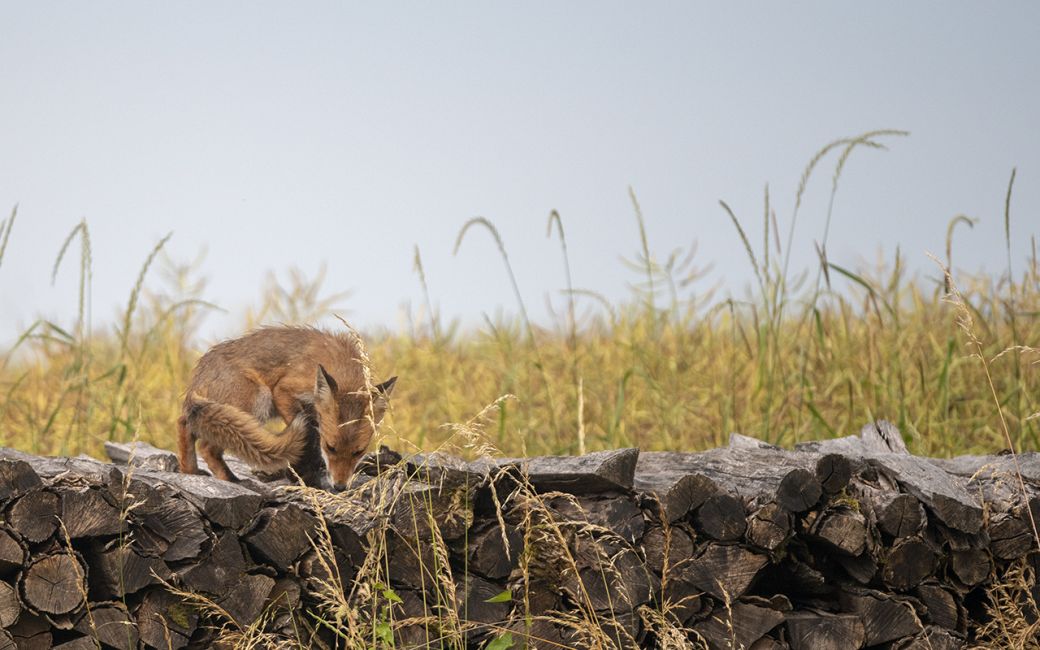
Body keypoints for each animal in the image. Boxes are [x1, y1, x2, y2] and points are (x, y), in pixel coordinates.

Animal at [176, 326, 395, 488]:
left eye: (358, 452)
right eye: (330, 447)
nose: (340, 487)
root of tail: (198, 375)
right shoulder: (283, 391)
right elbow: (307, 430)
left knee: (184, 424)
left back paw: (190, 471)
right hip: (258, 400)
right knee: (207, 447)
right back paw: (231, 480)